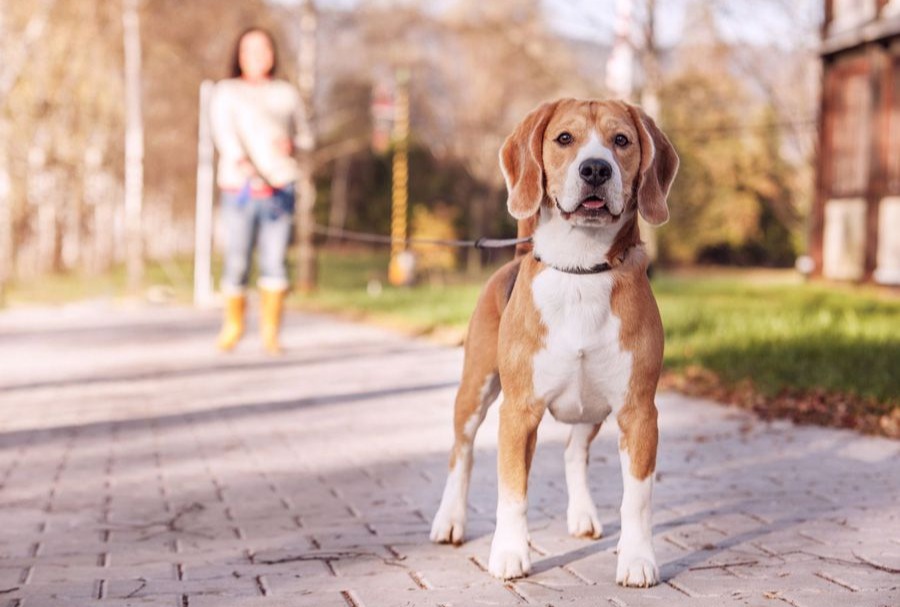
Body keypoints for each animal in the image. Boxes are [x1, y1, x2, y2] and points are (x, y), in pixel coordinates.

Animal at [428, 98, 676, 588]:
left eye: (621, 140)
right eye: (564, 138)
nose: (596, 169)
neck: (581, 269)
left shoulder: (639, 412)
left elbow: (637, 499)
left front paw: (637, 558)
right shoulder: (518, 412)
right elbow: (512, 491)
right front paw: (509, 553)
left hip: (593, 408)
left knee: (573, 452)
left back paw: (582, 515)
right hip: (475, 389)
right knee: (461, 454)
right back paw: (450, 519)